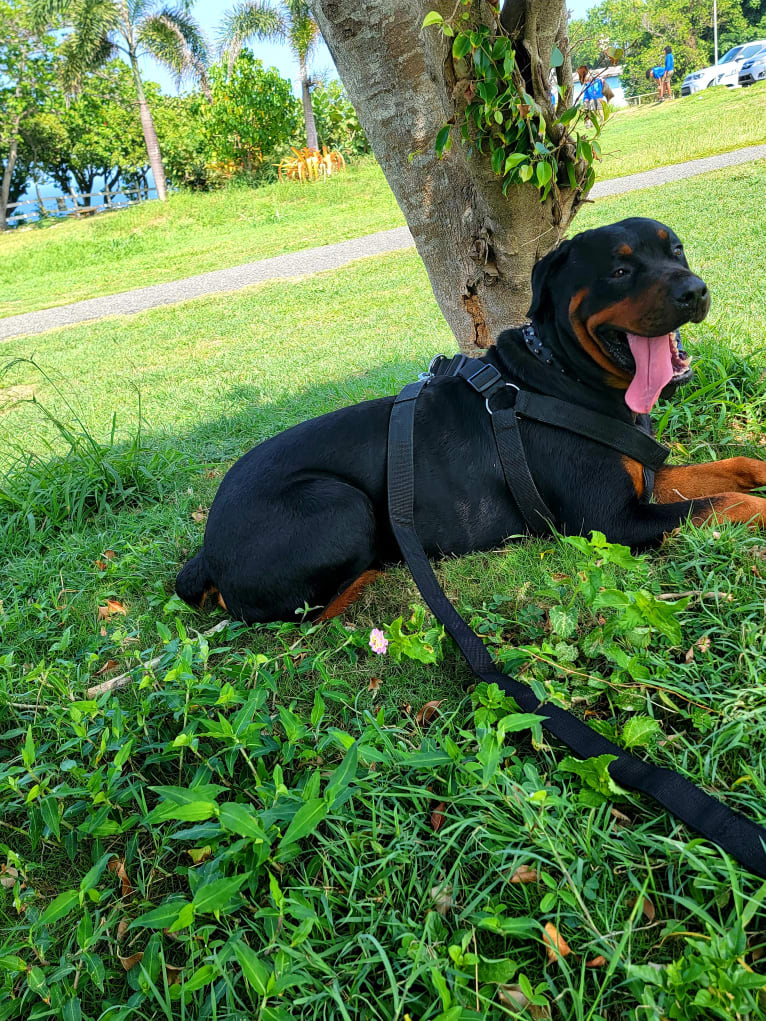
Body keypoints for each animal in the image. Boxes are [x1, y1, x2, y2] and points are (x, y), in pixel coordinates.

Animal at [176, 217, 766, 620]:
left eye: (677, 251)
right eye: (619, 270)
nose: (695, 289)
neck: (564, 377)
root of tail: (206, 551)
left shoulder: (646, 480)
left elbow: (734, 470)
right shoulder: (612, 521)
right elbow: (728, 503)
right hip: (339, 505)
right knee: (310, 611)